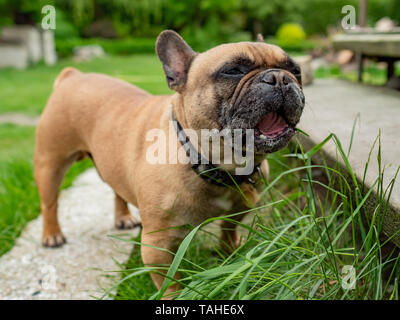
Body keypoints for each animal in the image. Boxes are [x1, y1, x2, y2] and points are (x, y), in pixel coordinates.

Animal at [34, 30, 304, 298]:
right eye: (233, 70)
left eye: (296, 70)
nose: (280, 77)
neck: (207, 160)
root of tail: (73, 75)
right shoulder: (158, 245)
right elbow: (171, 282)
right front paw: (176, 296)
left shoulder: (239, 208)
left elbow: (228, 230)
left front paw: (230, 253)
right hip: (51, 162)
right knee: (49, 202)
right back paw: (52, 235)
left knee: (116, 189)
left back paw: (123, 217)